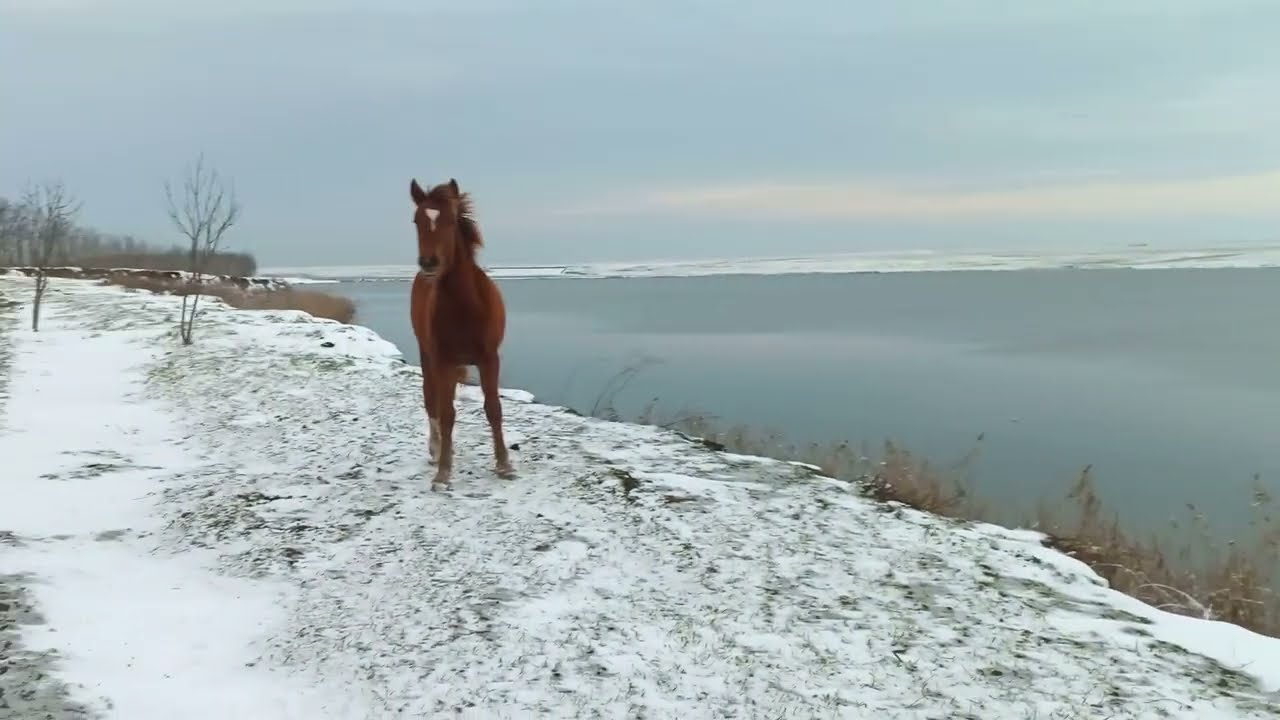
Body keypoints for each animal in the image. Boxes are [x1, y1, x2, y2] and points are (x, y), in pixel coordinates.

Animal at [408, 177, 514, 490]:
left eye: (451, 219)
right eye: (416, 220)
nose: (429, 263)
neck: (465, 306)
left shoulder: (489, 359)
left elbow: (493, 409)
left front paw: (504, 465)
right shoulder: (442, 360)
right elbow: (446, 413)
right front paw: (443, 471)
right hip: (427, 356)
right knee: (431, 399)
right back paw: (437, 449)